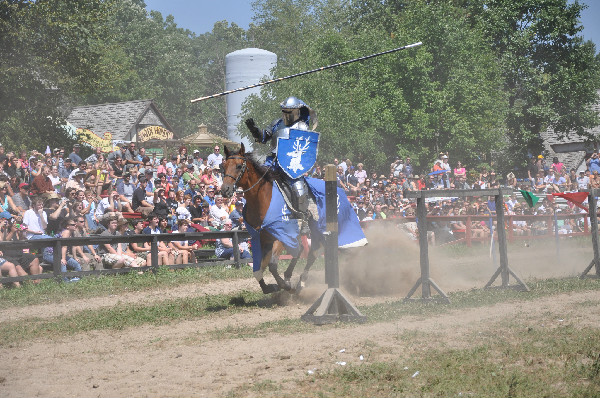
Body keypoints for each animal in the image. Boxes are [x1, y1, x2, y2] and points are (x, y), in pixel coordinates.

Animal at [221, 143, 318, 292]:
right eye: (224, 166)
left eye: (238, 166)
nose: (225, 190)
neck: (261, 202)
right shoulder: (261, 239)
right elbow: (258, 269)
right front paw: (269, 287)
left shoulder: (280, 236)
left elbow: (272, 265)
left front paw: (284, 285)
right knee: (301, 249)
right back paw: (291, 277)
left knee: (311, 254)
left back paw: (300, 281)